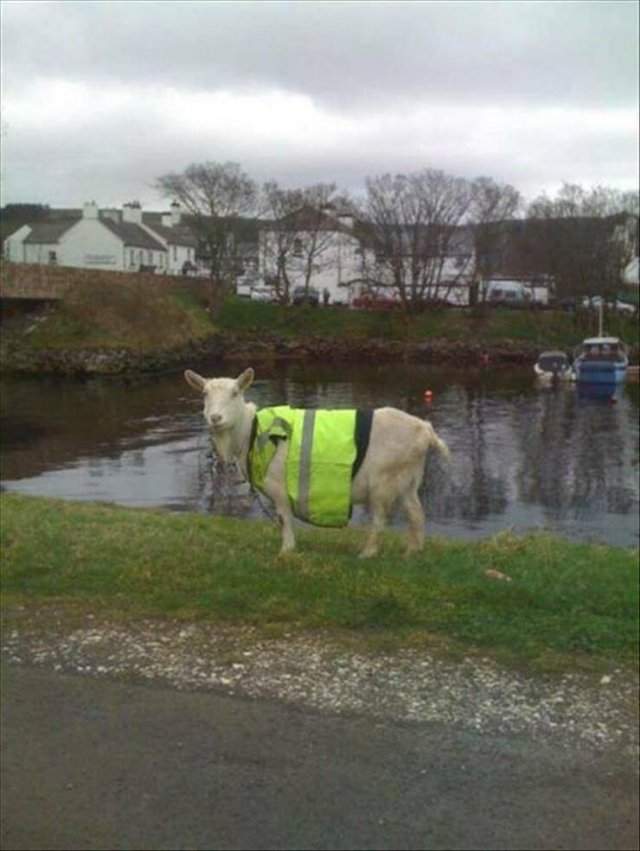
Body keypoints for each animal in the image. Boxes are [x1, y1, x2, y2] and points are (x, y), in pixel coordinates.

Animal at [186, 368, 450, 560]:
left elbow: (284, 518)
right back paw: (412, 552)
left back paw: (367, 553)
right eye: (204, 394)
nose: (215, 418)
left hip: (383, 480)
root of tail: (425, 430)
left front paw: (286, 551)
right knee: (416, 513)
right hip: (407, 478)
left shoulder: (279, 486)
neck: (250, 432)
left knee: (380, 519)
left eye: (235, 393)